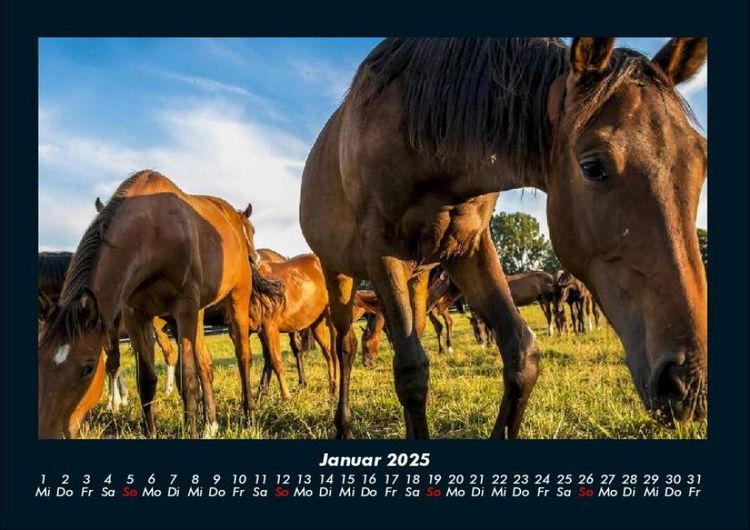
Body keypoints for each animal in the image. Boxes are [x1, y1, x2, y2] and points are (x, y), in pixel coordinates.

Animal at [38, 170, 265, 438]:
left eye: (88, 368)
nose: (47, 432)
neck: (153, 233)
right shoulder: (135, 315)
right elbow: (146, 381)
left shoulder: (184, 308)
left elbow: (187, 379)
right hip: (195, 314)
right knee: (205, 362)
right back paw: (211, 425)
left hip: (236, 297)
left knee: (242, 355)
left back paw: (250, 417)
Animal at [251, 253, 337, 400]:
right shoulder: (259, 332)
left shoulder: (270, 328)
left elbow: (276, 362)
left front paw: (286, 398)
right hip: (317, 323)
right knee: (328, 353)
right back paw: (332, 388)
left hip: (331, 317)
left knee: (335, 352)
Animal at [300, 38, 707, 438]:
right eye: (593, 167)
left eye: (701, 159)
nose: (689, 384)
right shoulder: (383, 254)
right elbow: (411, 371)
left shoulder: (469, 249)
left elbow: (521, 354)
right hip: (339, 274)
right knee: (345, 344)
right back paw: (343, 426)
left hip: (417, 277)